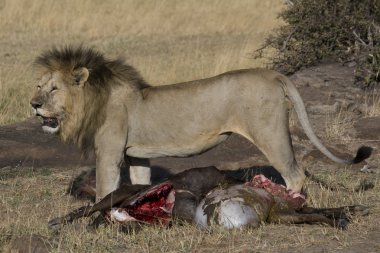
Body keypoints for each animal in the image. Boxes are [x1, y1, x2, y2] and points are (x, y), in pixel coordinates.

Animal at [30, 46, 372, 202]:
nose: (33, 105)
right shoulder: (136, 155)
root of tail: (274, 74)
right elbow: (139, 182)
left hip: (269, 133)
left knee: (295, 173)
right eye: (39, 86)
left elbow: (104, 189)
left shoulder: (110, 153)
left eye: (54, 89)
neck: (91, 100)